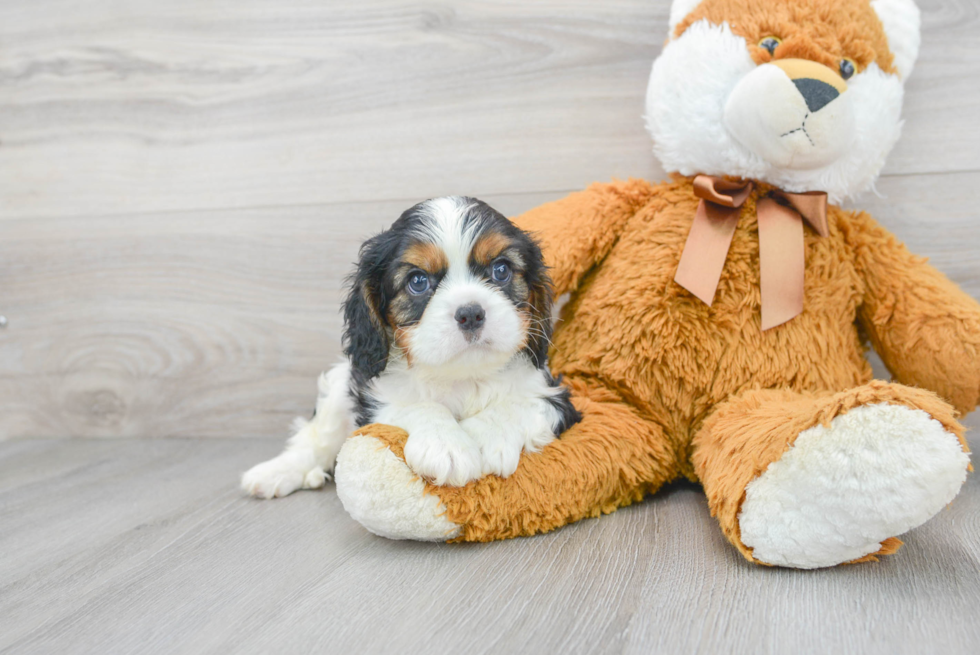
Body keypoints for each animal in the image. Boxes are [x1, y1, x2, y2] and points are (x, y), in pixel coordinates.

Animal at [244, 195, 580, 498]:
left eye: (501, 270)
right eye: (417, 281)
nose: (471, 313)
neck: (462, 376)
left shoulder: (556, 398)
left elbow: (518, 404)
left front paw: (483, 437)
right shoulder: (374, 399)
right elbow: (419, 406)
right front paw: (448, 446)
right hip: (340, 384)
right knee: (316, 437)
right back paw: (277, 473)